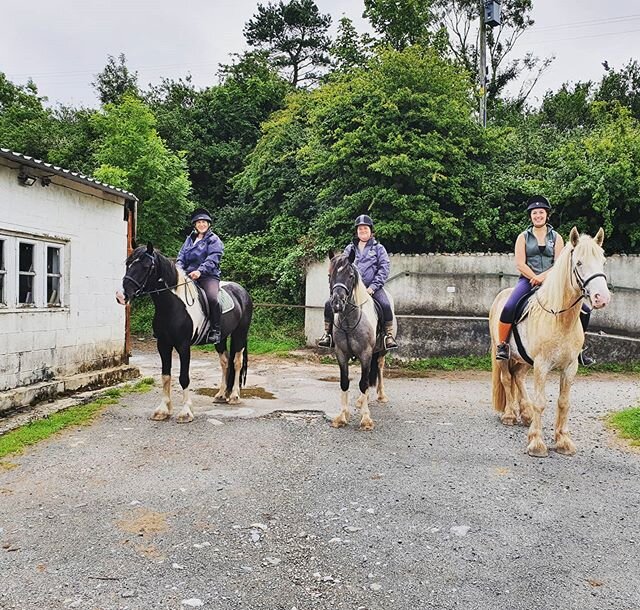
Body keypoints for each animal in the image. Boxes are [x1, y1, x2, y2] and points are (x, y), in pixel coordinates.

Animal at [117, 241, 252, 418]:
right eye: (128, 264)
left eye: (146, 266)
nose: (121, 296)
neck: (173, 306)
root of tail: (242, 291)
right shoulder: (163, 344)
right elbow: (165, 375)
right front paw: (163, 410)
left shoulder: (183, 346)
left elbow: (183, 377)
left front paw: (186, 412)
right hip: (221, 338)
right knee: (224, 362)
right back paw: (221, 395)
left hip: (240, 334)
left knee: (236, 362)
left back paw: (235, 395)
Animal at [330, 247, 396, 428]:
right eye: (330, 274)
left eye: (350, 276)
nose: (337, 303)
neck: (350, 321)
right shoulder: (341, 354)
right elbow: (345, 382)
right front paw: (342, 416)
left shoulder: (366, 353)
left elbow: (364, 383)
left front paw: (366, 419)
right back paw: (361, 400)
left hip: (381, 351)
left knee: (379, 367)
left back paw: (381, 396)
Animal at [490, 228, 608, 456]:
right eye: (579, 263)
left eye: (603, 261)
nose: (601, 298)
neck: (560, 319)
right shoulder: (542, 365)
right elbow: (541, 402)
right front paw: (536, 443)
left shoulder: (570, 367)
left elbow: (563, 403)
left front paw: (563, 441)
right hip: (505, 355)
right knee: (507, 379)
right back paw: (509, 415)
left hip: (524, 360)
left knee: (518, 377)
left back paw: (525, 414)